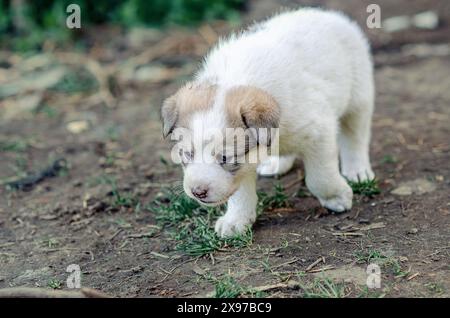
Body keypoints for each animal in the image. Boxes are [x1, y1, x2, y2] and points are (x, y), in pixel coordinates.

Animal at [163, 7, 374, 237]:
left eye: (226, 158)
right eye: (186, 154)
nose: (198, 192)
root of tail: (325, 13)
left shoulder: (319, 132)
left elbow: (320, 176)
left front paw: (336, 196)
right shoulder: (246, 163)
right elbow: (240, 191)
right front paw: (236, 220)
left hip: (359, 95)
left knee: (355, 136)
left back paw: (357, 170)